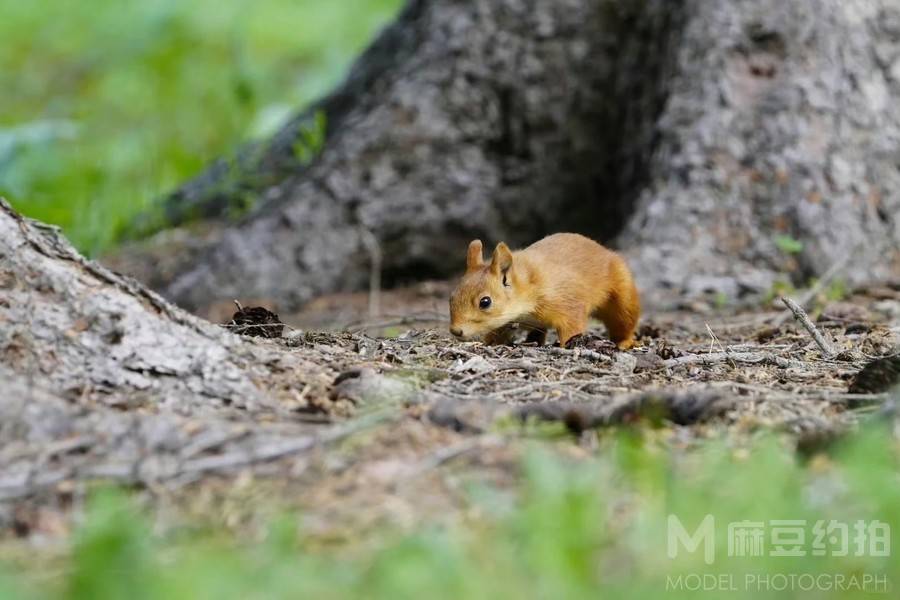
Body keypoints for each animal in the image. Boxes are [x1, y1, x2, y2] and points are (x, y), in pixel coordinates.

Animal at [448, 232, 640, 350]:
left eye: (485, 302)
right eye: (451, 297)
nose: (456, 331)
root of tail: (605, 251)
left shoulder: (566, 303)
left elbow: (572, 326)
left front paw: (567, 345)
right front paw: (489, 342)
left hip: (623, 297)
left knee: (624, 321)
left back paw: (625, 342)